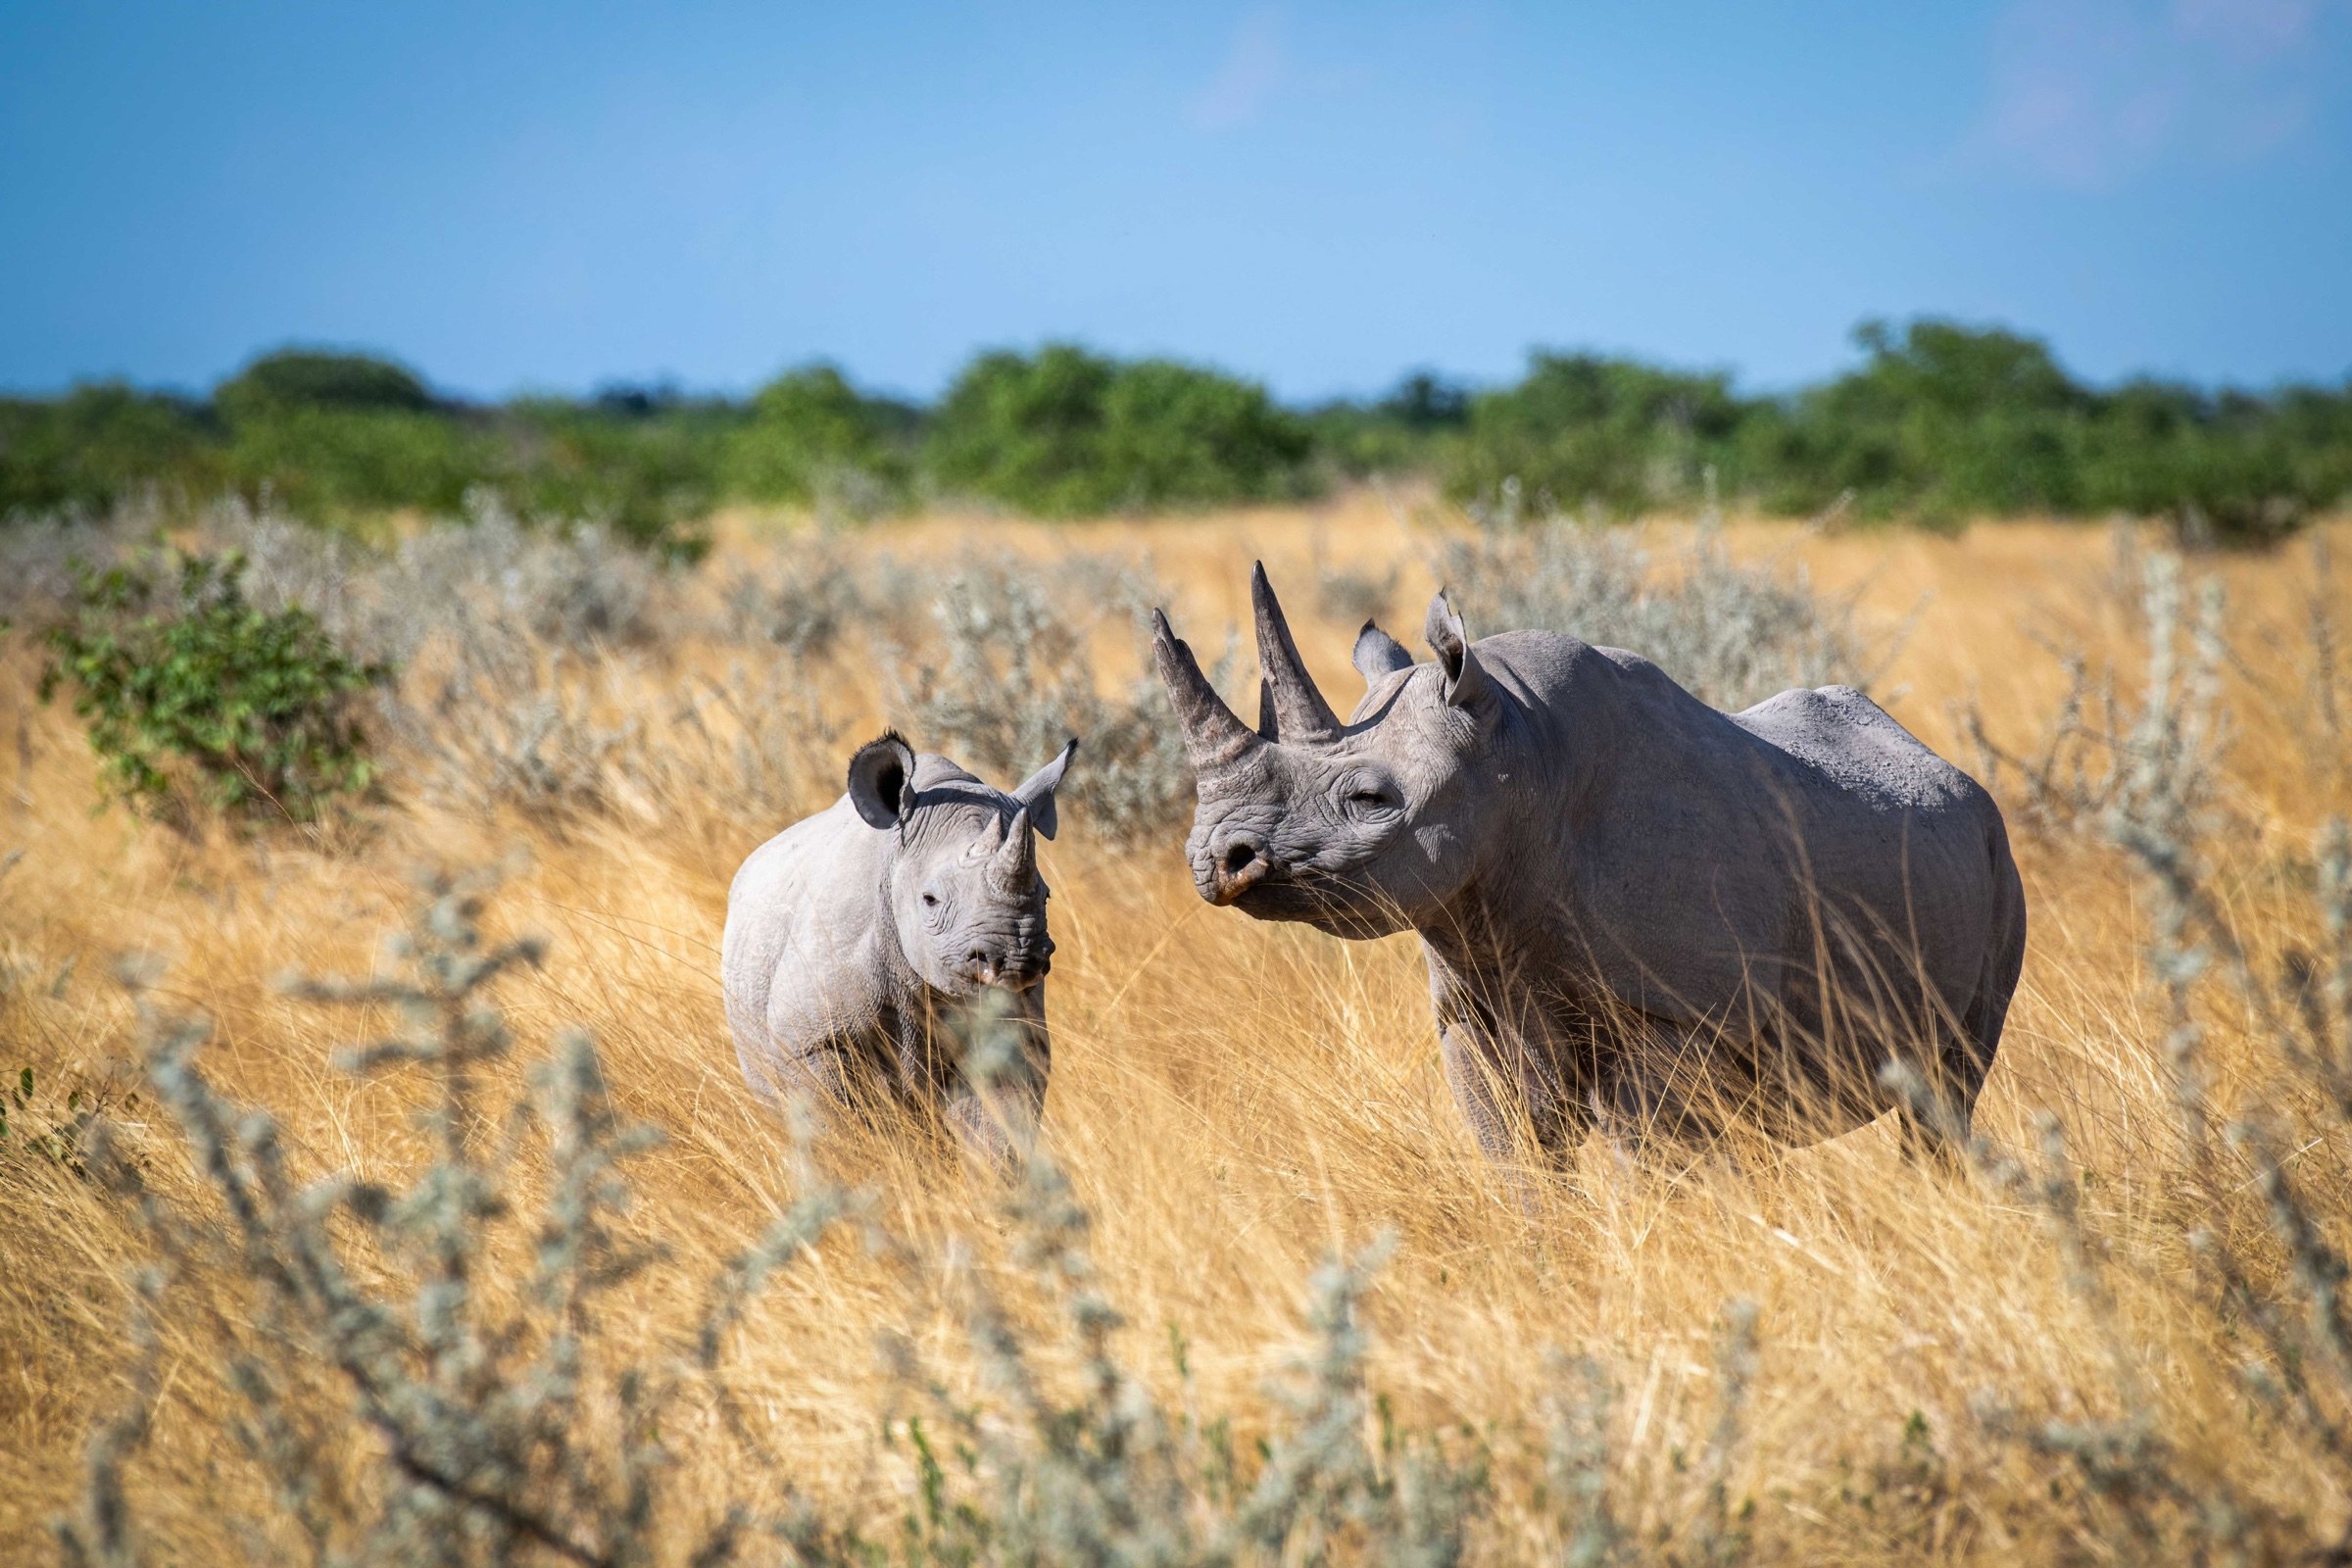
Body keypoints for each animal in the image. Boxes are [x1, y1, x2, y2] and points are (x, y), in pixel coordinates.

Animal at [721, 731, 1076, 1163]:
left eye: (1045, 896)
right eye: (930, 900)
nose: (1014, 960)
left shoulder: (1017, 1035)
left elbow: (1000, 1133)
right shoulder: (811, 1038)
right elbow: (836, 1129)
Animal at [1152, 564, 2024, 1163]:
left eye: (1371, 799)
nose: (1218, 856)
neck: (1516, 758)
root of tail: (1946, 766)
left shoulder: (1674, 1011)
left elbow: (1655, 1161)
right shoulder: (1472, 996)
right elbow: (1519, 1166)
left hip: (1996, 857)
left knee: (1946, 1095)